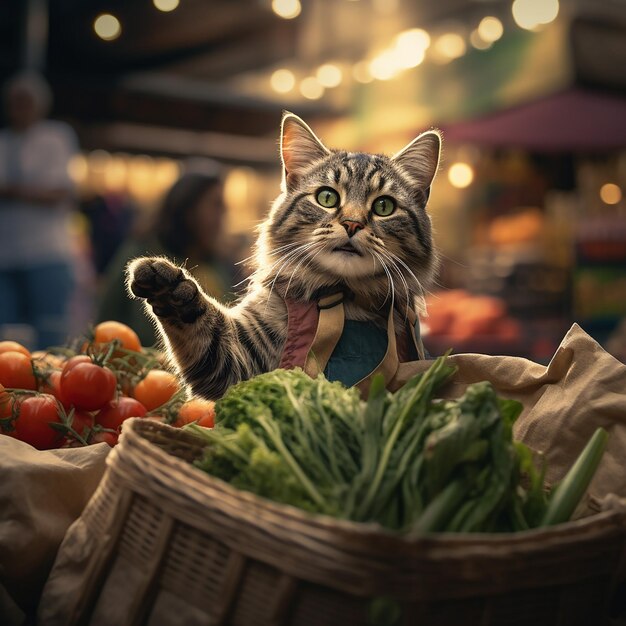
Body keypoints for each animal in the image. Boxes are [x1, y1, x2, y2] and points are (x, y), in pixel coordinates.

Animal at [125, 110, 438, 398]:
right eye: (327, 198)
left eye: (384, 207)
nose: (352, 223)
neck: (344, 298)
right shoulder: (242, 359)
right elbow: (201, 324)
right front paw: (167, 286)